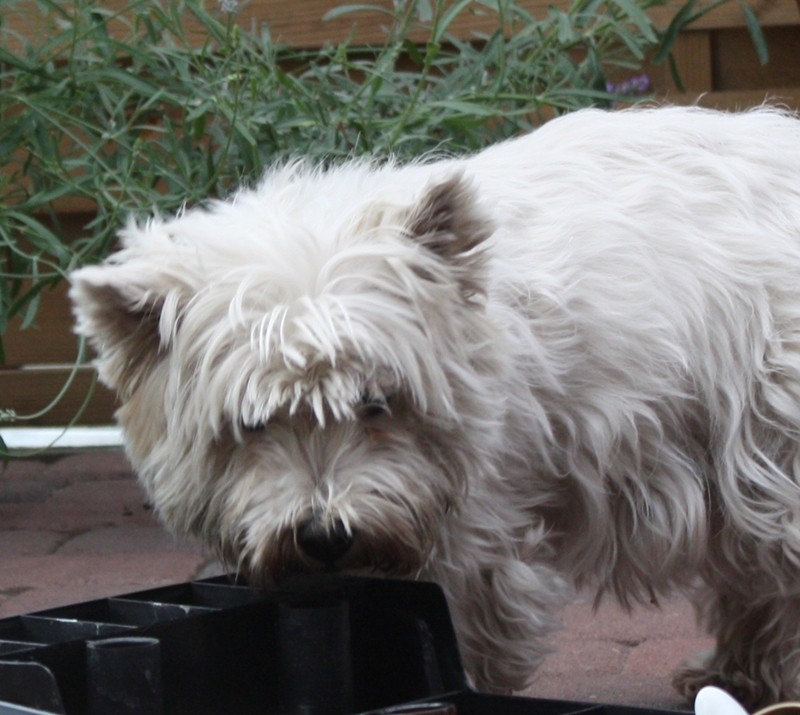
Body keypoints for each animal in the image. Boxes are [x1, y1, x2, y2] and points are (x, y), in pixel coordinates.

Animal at [70, 105, 800, 708]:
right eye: (250, 424)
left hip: (768, 438)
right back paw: (735, 673)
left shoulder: (469, 526)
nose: (324, 536)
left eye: (377, 401)